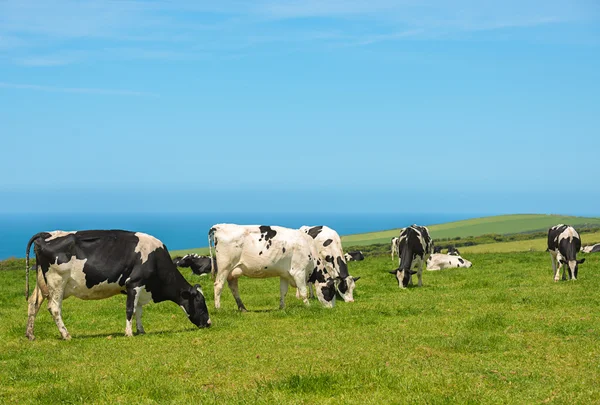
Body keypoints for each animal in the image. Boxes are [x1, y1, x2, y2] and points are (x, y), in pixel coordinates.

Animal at [24, 229, 212, 340]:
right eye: (200, 302)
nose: (209, 323)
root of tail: (47, 234)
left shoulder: (141, 287)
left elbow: (138, 310)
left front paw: (141, 330)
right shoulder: (134, 283)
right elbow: (130, 309)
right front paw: (129, 333)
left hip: (43, 284)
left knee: (33, 303)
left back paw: (30, 334)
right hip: (57, 282)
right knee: (54, 307)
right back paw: (66, 334)